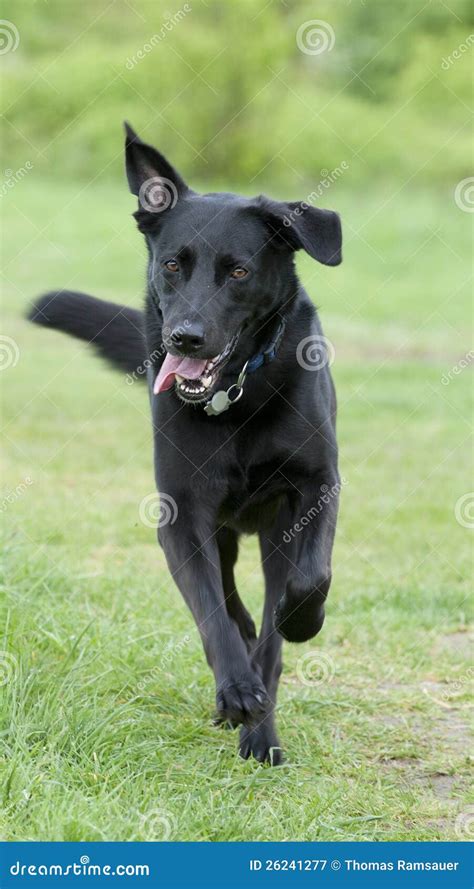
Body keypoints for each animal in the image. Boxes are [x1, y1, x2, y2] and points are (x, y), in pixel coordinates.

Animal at [28, 125, 340, 764]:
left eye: (239, 272)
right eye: (172, 264)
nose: (184, 337)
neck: (237, 394)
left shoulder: (316, 486)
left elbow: (308, 579)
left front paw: (301, 624)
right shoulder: (181, 514)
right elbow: (211, 611)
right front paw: (236, 689)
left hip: (270, 530)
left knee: (271, 615)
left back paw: (263, 727)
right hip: (222, 533)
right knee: (233, 606)